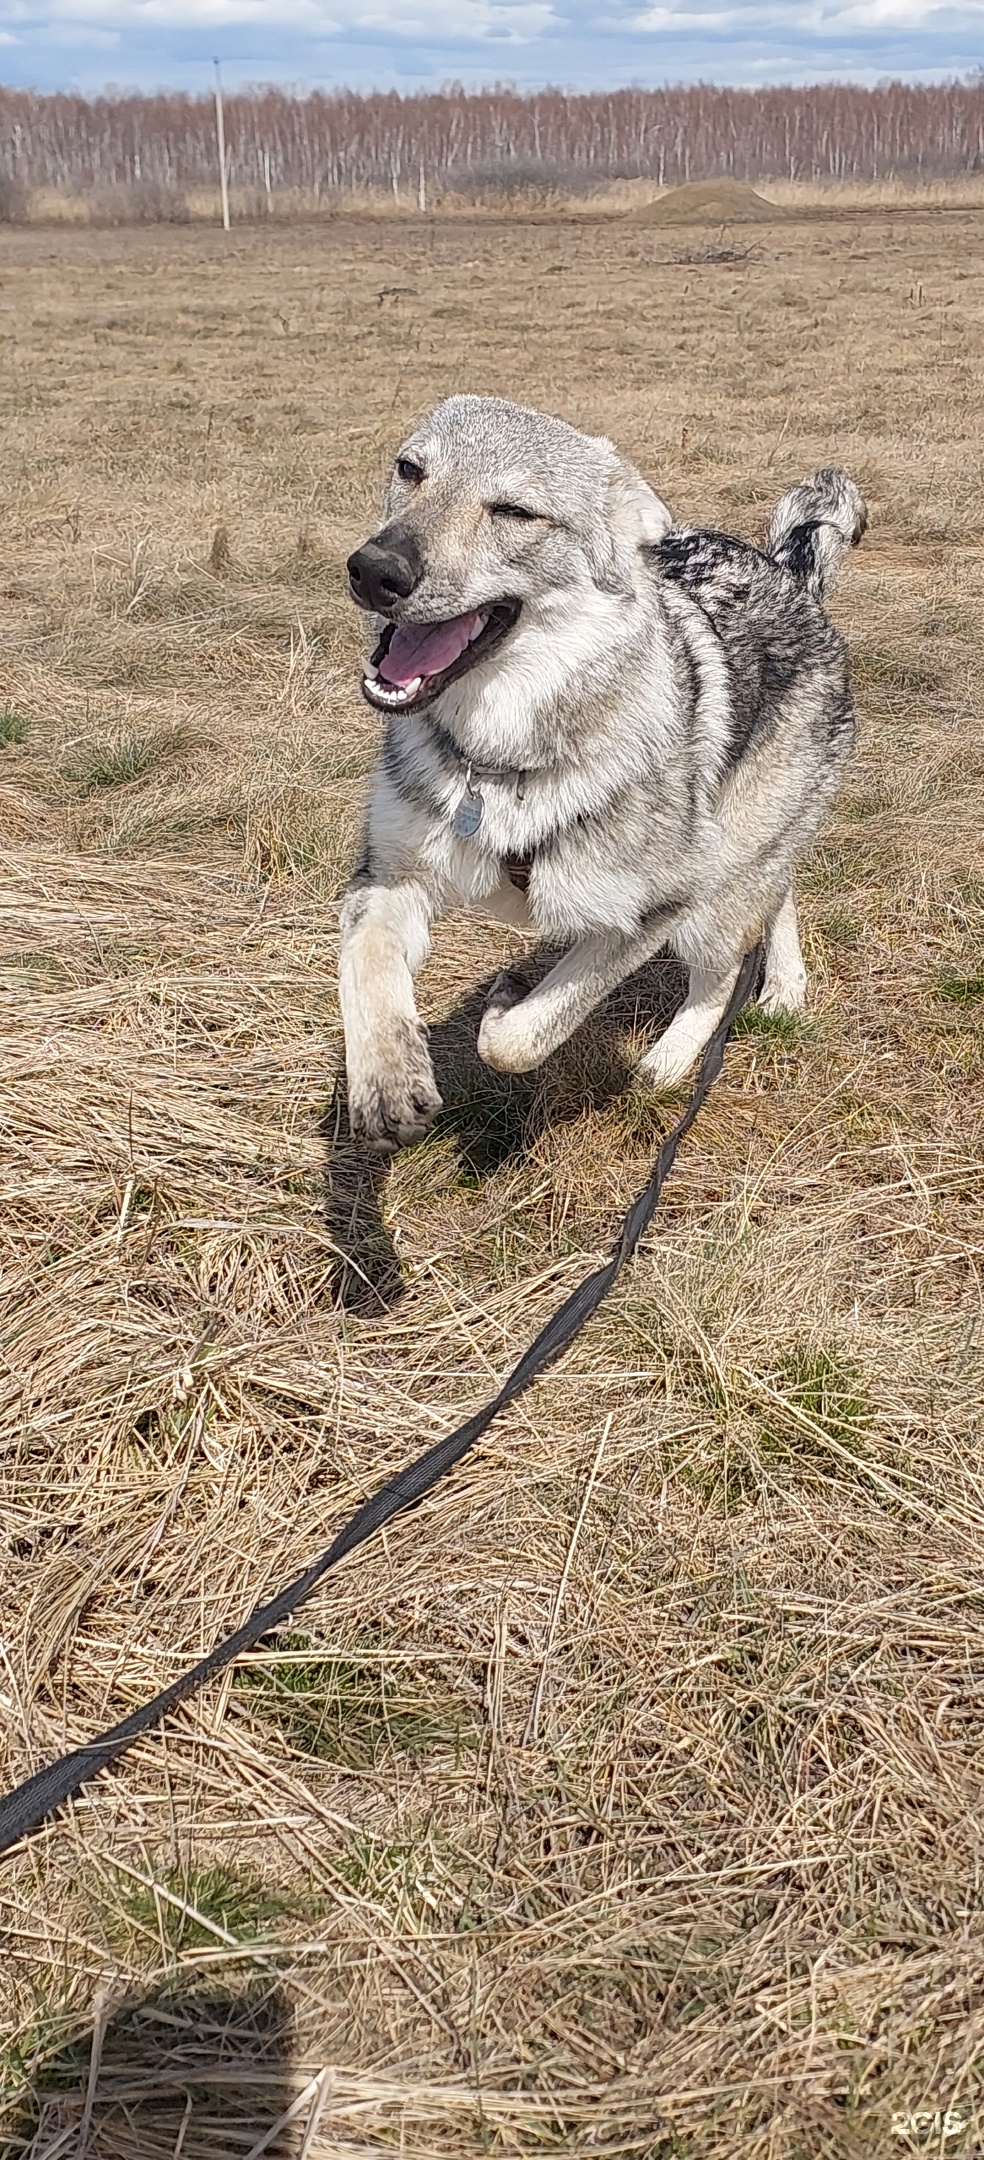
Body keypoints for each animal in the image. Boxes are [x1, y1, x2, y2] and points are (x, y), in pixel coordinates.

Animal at [336, 397, 863, 1157]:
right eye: (410, 470)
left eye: (514, 511)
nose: (374, 569)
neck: (499, 764)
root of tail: (790, 575)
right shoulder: (388, 877)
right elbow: (366, 969)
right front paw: (387, 1081)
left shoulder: (656, 909)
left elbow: (525, 1036)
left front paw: (502, 1008)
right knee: (780, 892)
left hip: (716, 895)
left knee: (726, 968)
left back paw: (682, 1054)